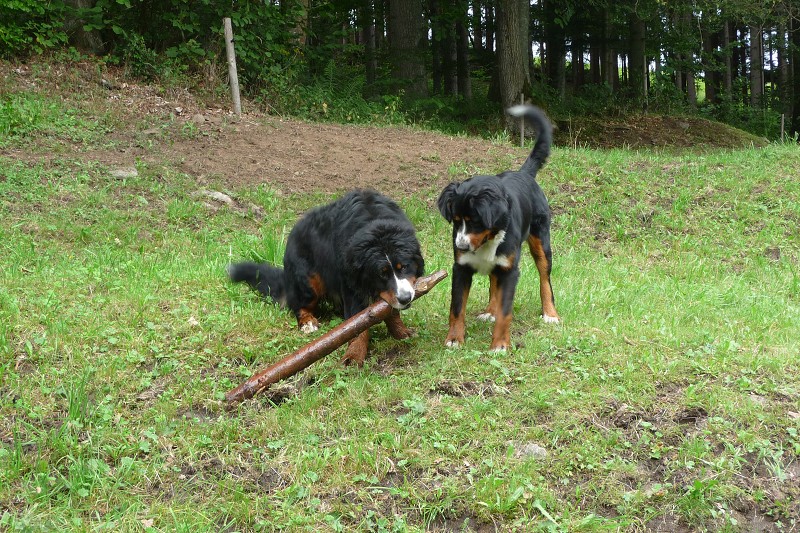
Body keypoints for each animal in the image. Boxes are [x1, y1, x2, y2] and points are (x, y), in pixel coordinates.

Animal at [228, 188, 424, 366]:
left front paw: (401, 333)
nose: (405, 298)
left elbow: (389, 311)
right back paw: (308, 322)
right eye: (381, 274)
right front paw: (354, 356)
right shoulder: (352, 288)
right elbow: (358, 324)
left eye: (403, 267)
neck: (374, 222)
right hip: (309, 280)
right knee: (298, 305)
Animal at [438, 105, 564, 352]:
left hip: (541, 243)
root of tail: (523, 174)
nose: (461, 246)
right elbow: (457, 308)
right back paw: (490, 311)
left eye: (474, 221)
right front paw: (455, 338)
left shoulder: (510, 269)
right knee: (493, 282)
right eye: (456, 220)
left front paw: (500, 345)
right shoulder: (461, 268)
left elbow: (506, 313)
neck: (488, 239)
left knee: (545, 279)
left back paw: (550, 313)